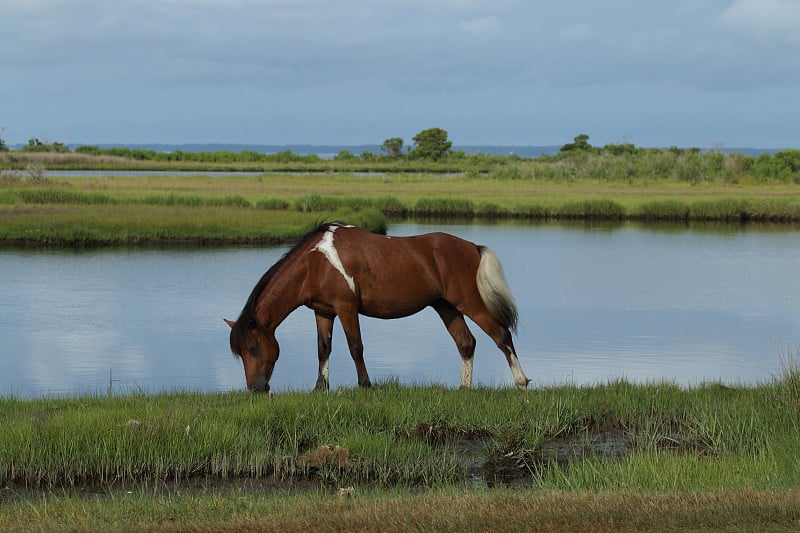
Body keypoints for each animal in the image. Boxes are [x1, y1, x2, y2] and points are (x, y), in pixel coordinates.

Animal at [223, 220, 532, 390]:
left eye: (253, 348)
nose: (255, 388)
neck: (316, 263)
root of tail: (471, 247)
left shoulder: (346, 309)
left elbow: (355, 347)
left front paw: (366, 385)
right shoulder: (323, 312)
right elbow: (323, 349)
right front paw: (320, 388)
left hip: (470, 303)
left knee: (501, 335)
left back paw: (521, 382)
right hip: (446, 307)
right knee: (466, 343)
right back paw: (463, 389)